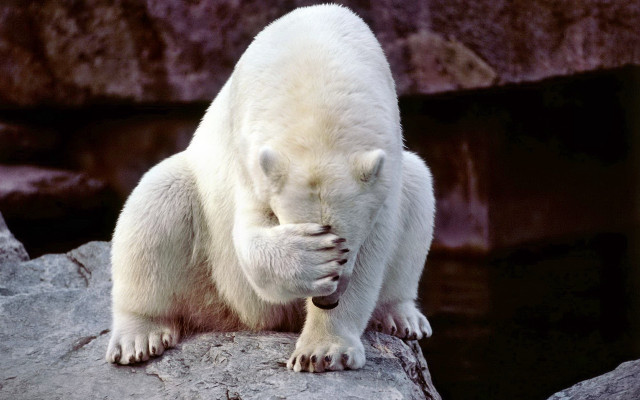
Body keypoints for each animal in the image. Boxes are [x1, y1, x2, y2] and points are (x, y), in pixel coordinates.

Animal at [105, 4, 435, 373]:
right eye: (325, 238)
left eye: (346, 245)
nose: (327, 300)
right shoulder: (249, 153)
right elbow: (248, 235)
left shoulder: (385, 166)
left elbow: (374, 249)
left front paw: (322, 351)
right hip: (207, 269)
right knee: (157, 202)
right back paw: (138, 336)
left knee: (418, 188)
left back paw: (402, 316)